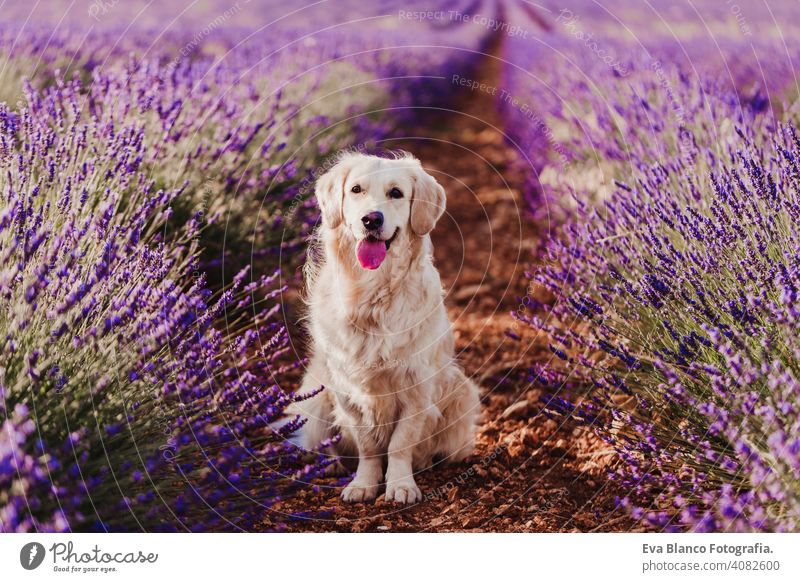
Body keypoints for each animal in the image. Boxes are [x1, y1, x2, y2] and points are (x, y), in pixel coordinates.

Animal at [292, 152, 482, 506]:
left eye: (396, 193)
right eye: (356, 189)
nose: (371, 219)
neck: (372, 296)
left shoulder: (416, 388)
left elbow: (399, 444)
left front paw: (400, 485)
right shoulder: (347, 390)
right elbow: (368, 445)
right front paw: (364, 483)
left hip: (461, 391)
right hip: (314, 400)